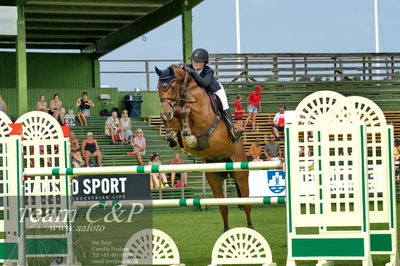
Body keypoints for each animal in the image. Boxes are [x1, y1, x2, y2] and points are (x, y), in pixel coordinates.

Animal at [155, 64, 252, 231]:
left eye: (173, 87)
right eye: (158, 88)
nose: (168, 112)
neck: (186, 89)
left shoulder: (202, 118)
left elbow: (186, 109)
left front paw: (188, 134)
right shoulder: (174, 114)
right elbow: (174, 115)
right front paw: (172, 138)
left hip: (240, 172)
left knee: (246, 204)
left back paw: (251, 229)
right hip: (214, 176)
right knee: (223, 207)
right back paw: (226, 232)